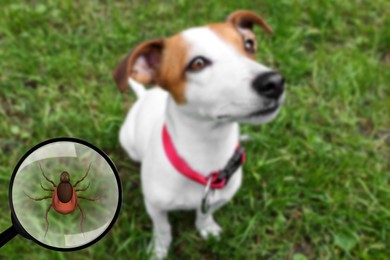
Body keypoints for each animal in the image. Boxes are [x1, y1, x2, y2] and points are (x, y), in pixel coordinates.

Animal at [111, 9, 284, 258]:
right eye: (197, 63)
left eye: (249, 45)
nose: (274, 82)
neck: (207, 153)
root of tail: (145, 96)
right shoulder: (155, 206)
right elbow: (162, 228)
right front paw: (159, 249)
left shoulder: (215, 199)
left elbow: (204, 214)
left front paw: (207, 228)